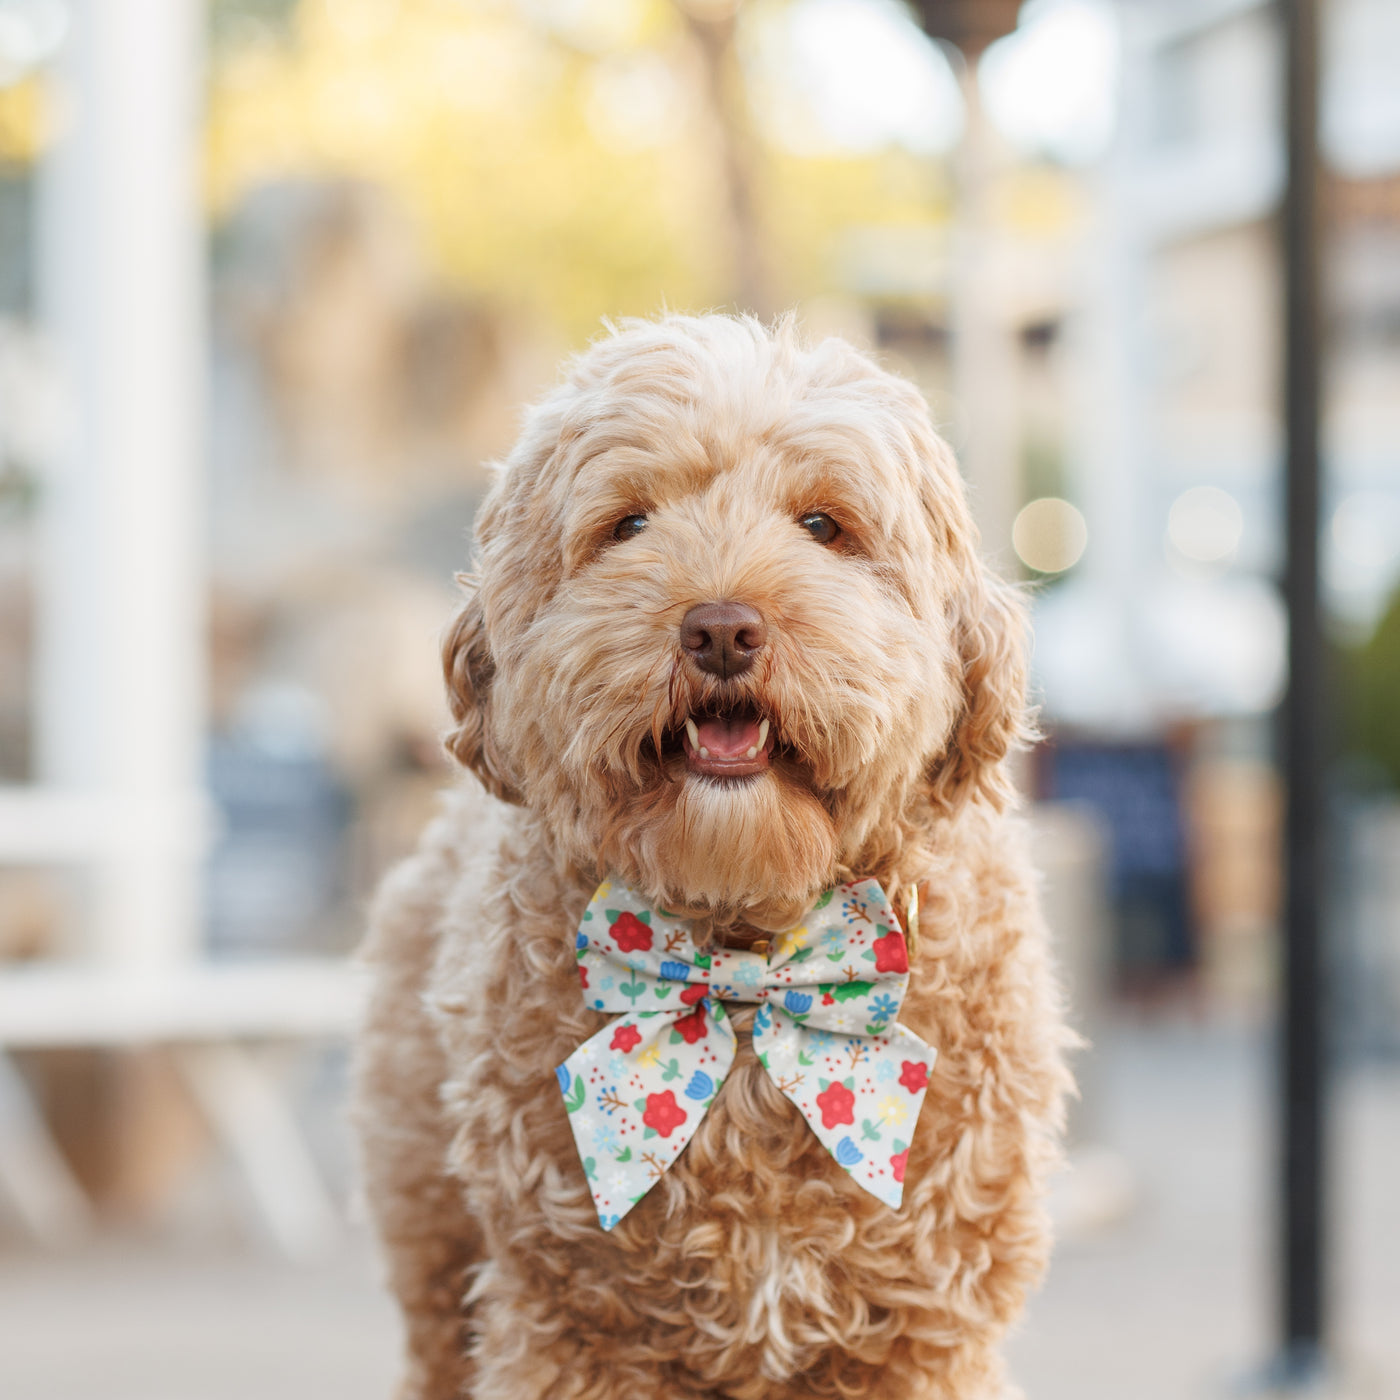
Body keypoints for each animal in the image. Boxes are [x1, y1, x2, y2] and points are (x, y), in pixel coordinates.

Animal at [358, 317, 1069, 1400]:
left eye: (824, 525)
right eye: (628, 524)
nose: (722, 627)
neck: (743, 958)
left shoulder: (922, 1332)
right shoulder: (572, 1326)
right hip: (438, 1255)